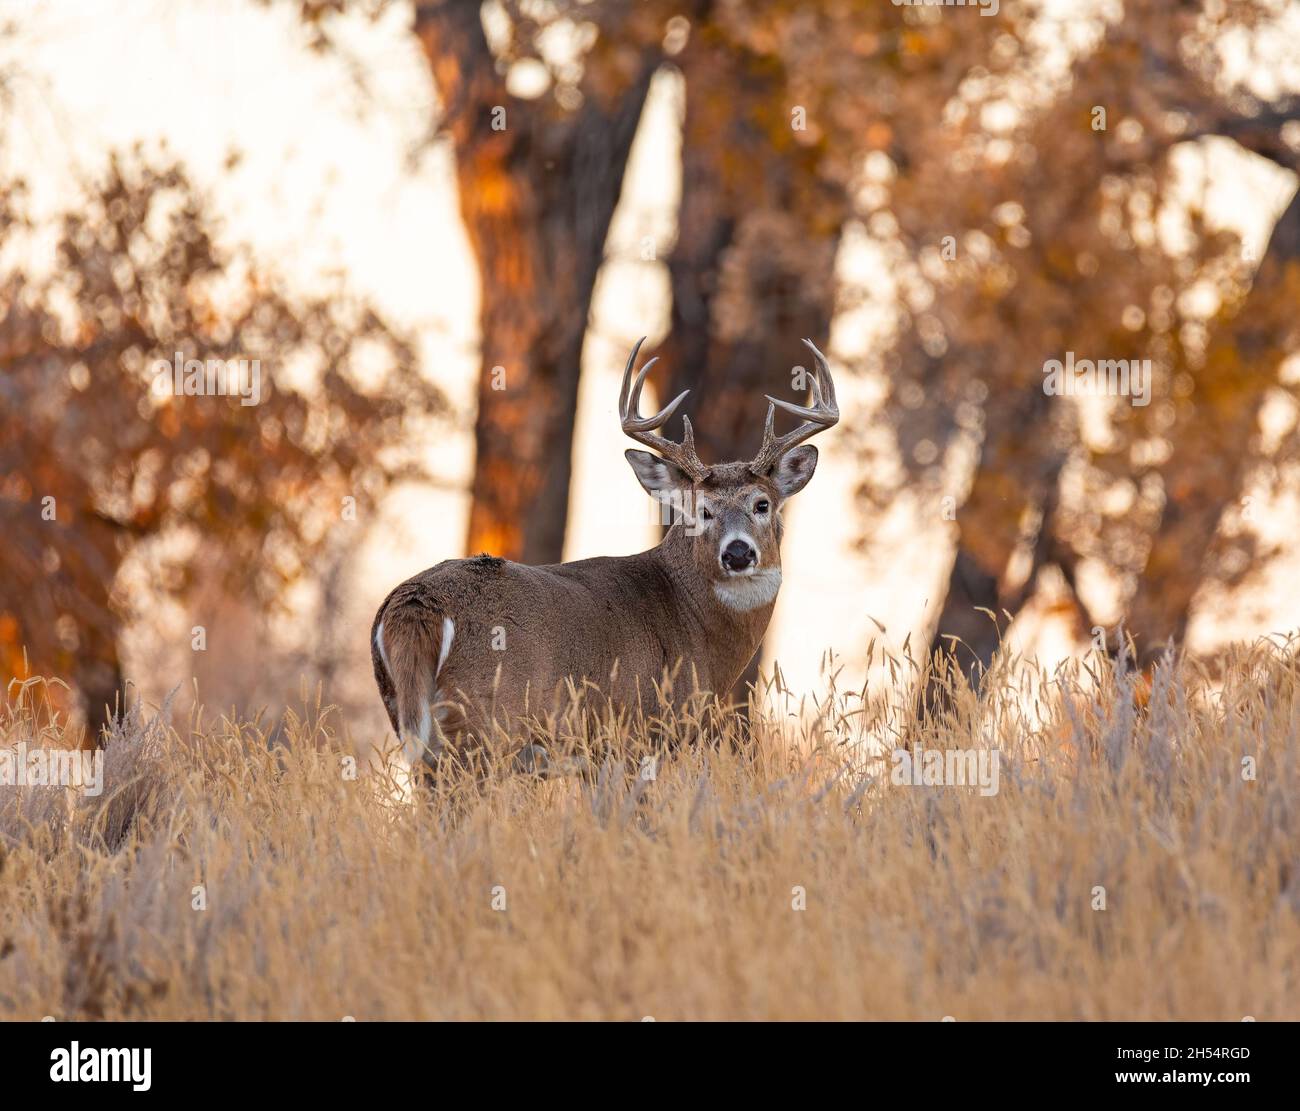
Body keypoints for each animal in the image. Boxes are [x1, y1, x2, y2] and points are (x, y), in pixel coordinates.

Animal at [371, 337, 837, 779]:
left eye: (762, 503)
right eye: (700, 510)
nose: (738, 552)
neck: (693, 623)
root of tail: (414, 602)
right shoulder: (634, 733)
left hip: (405, 713)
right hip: (484, 726)